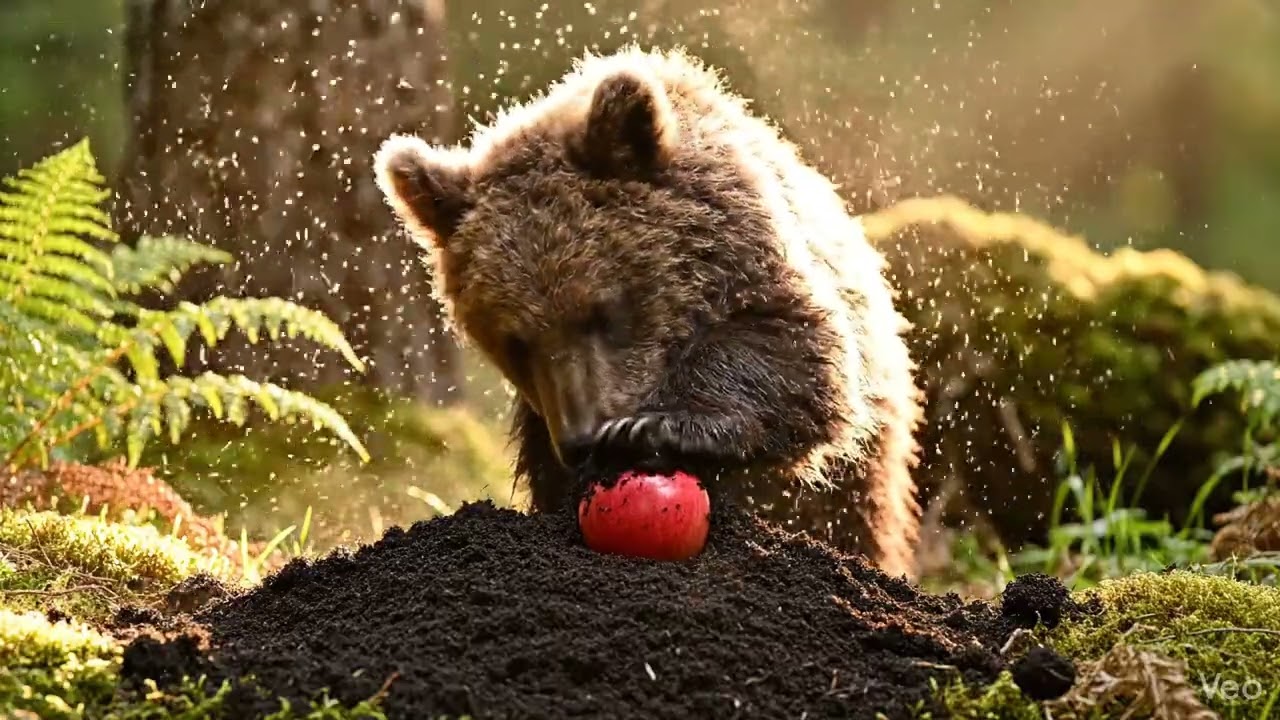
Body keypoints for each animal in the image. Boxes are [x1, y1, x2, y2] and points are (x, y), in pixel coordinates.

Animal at [372, 45, 924, 578]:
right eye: (516, 341)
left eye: (602, 313)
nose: (582, 438)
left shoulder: (764, 269)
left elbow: (797, 355)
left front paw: (656, 425)